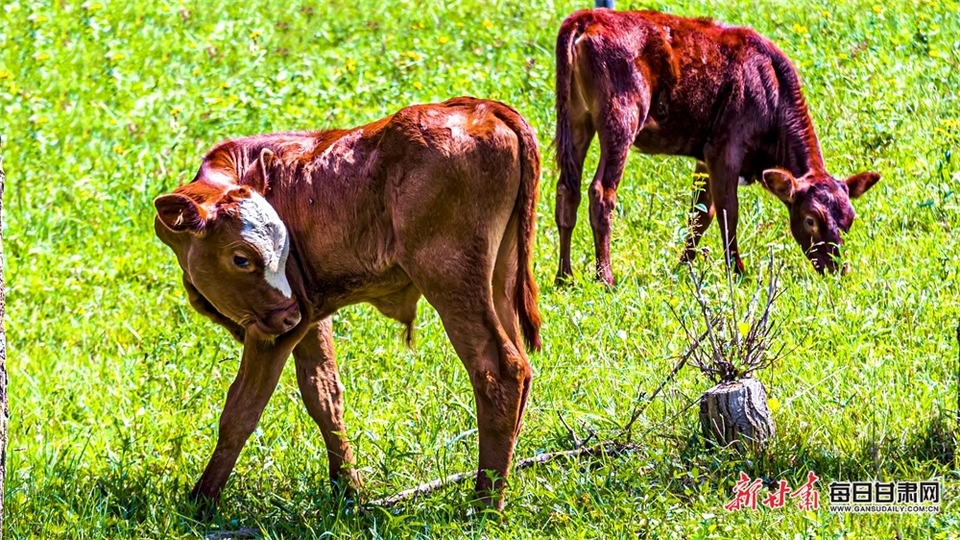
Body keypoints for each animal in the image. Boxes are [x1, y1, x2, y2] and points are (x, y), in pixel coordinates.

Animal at [151, 95, 540, 512]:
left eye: (253, 256)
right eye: (242, 258)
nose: (288, 315)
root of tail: (478, 107)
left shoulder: (278, 329)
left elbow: (242, 409)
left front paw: (202, 500)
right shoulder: (309, 316)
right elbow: (323, 393)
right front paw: (348, 488)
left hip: (451, 278)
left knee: (499, 372)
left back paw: (485, 501)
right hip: (501, 276)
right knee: (522, 366)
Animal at [552, 9, 880, 286]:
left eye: (849, 220)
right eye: (811, 219)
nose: (837, 270)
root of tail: (588, 16)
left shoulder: (703, 156)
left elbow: (700, 214)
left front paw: (682, 267)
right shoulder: (725, 148)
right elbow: (727, 211)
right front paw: (738, 272)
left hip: (575, 115)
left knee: (568, 189)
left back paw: (565, 277)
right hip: (621, 115)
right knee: (601, 192)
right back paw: (605, 277)